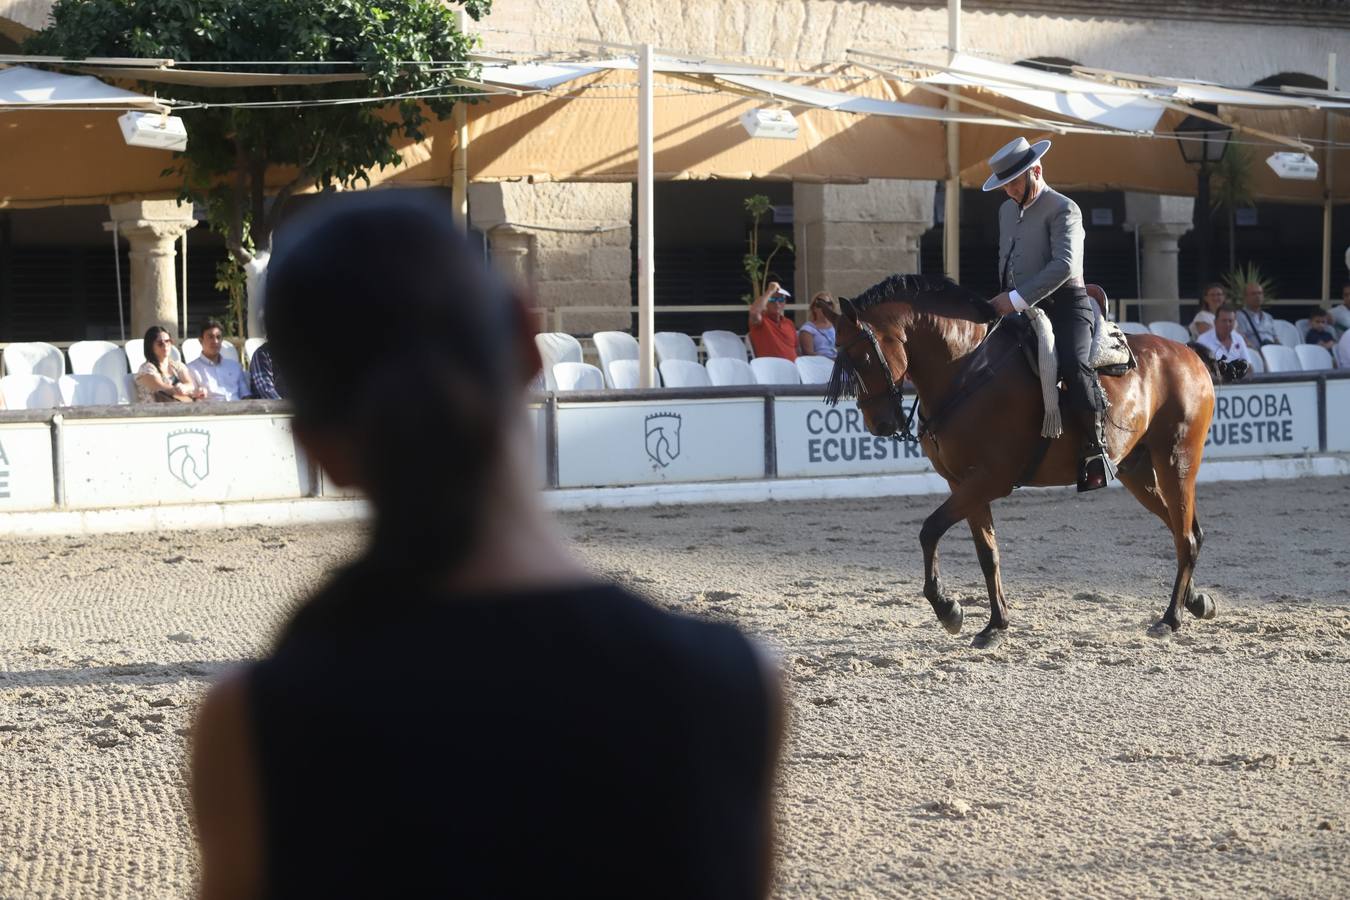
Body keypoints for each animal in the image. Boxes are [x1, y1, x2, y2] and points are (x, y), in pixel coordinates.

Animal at [820, 275, 1225, 647]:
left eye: (863, 358)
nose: (880, 424)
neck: (968, 369)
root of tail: (1189, 353)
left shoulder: (989, 479)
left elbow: (930, 530)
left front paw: (948, 609)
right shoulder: (963, 483)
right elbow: (988, 552)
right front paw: (995, 625)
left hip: (1177, 461)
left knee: (1186, 536)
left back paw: (1170, 618)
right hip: (1137, 471)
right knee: (1183, 530)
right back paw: (1196, 602)